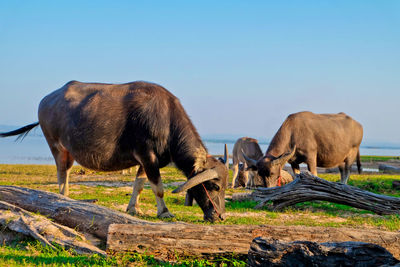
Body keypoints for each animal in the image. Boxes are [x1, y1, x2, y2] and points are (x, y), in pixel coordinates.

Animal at [0, 80, 228, 223]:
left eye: (225, 187)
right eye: (215, 186)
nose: (220, 217)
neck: (165, 121)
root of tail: (46, 100)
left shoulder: (144, 162)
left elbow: (139, 185)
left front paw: (133, 208)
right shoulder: (148, 156)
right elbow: (158, 188)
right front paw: (164, 212)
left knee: (67, 172)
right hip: (56, 146)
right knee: (61, 173)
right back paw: (64, 198)